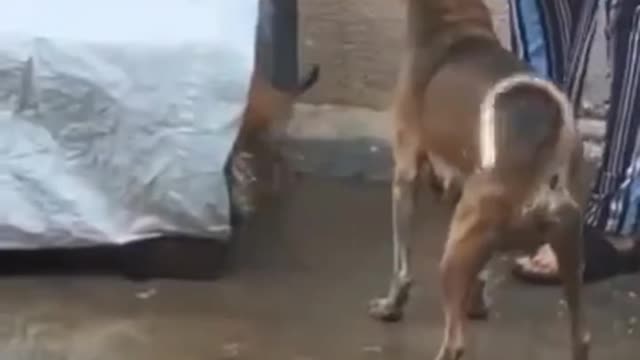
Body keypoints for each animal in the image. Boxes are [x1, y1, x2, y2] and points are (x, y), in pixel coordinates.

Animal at [370, 0, 592, 360]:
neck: (454, 18)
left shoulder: (405, 172)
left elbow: (401, 263)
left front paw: (391, 307)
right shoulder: (460, 188)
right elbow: (480, 276)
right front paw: (475, 303)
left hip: (456, 250)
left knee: (455, 343)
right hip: (566, 249)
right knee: (581, 337)